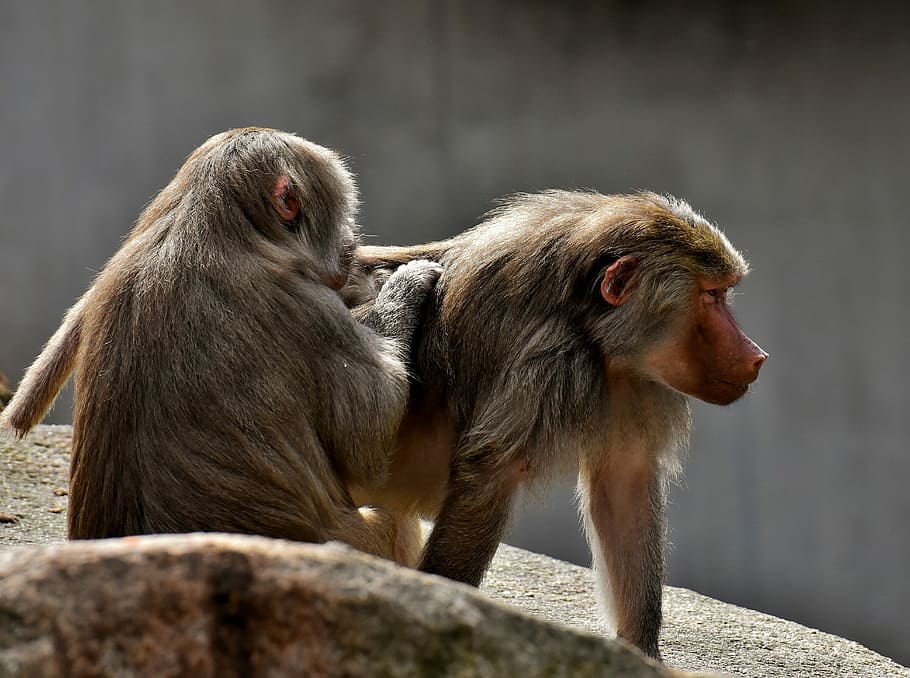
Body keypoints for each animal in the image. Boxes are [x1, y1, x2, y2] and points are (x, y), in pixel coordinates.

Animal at [0, 127, 441, 565]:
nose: (352, 240)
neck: (225, 226)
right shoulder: (303, 304)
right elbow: (368, 440)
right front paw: (403, 286)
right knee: (387, 513)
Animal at [338, 190, 768, 660]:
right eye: (711, 295)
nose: (757, 355)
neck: (590, 330)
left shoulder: (631, 381)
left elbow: (624, 485)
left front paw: (640, 652)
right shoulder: (547, 363)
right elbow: (490, 473)